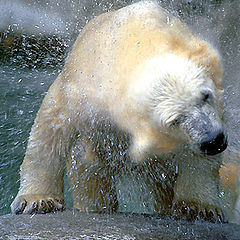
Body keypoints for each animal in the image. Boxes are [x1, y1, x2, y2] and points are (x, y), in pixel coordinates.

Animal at [11, 0, 229, 222]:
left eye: (206, 96)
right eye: (174, 120)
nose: (214, 140)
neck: (136, 45)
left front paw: (199, 207)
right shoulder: (82, 90)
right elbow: (51, 127)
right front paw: (36, 200)